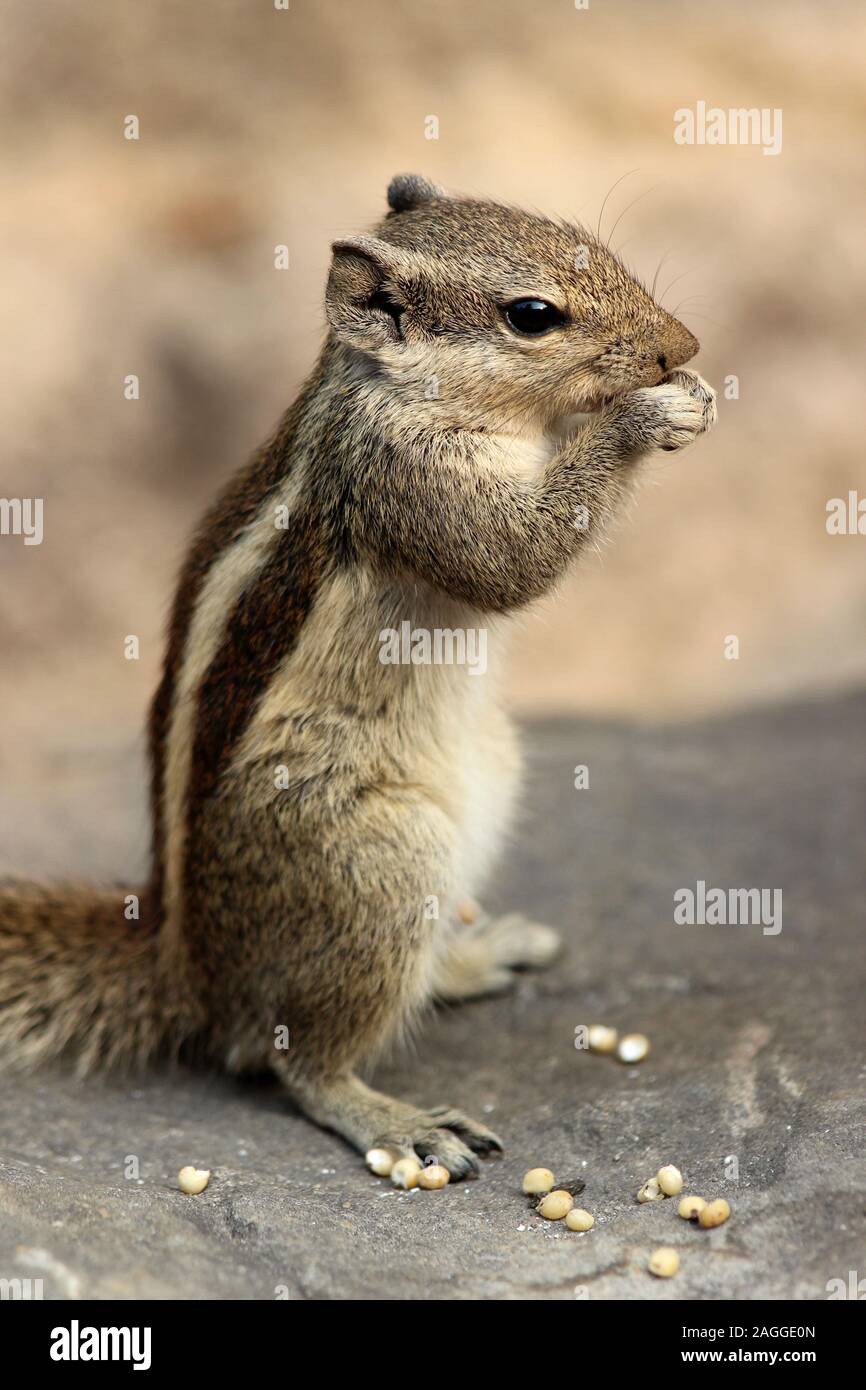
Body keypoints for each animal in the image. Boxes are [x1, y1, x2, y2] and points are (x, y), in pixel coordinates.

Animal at [1, 173, 717, 1173]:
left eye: (595, 246)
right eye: (533, 315)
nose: (681, 346)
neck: (389, 387)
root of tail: (190, 972)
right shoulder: (411, 478)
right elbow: (516, 559)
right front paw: (648, 415)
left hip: (488, 781)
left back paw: (476, 956)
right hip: (373, 859)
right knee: (294, 1057)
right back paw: (392, 1120)